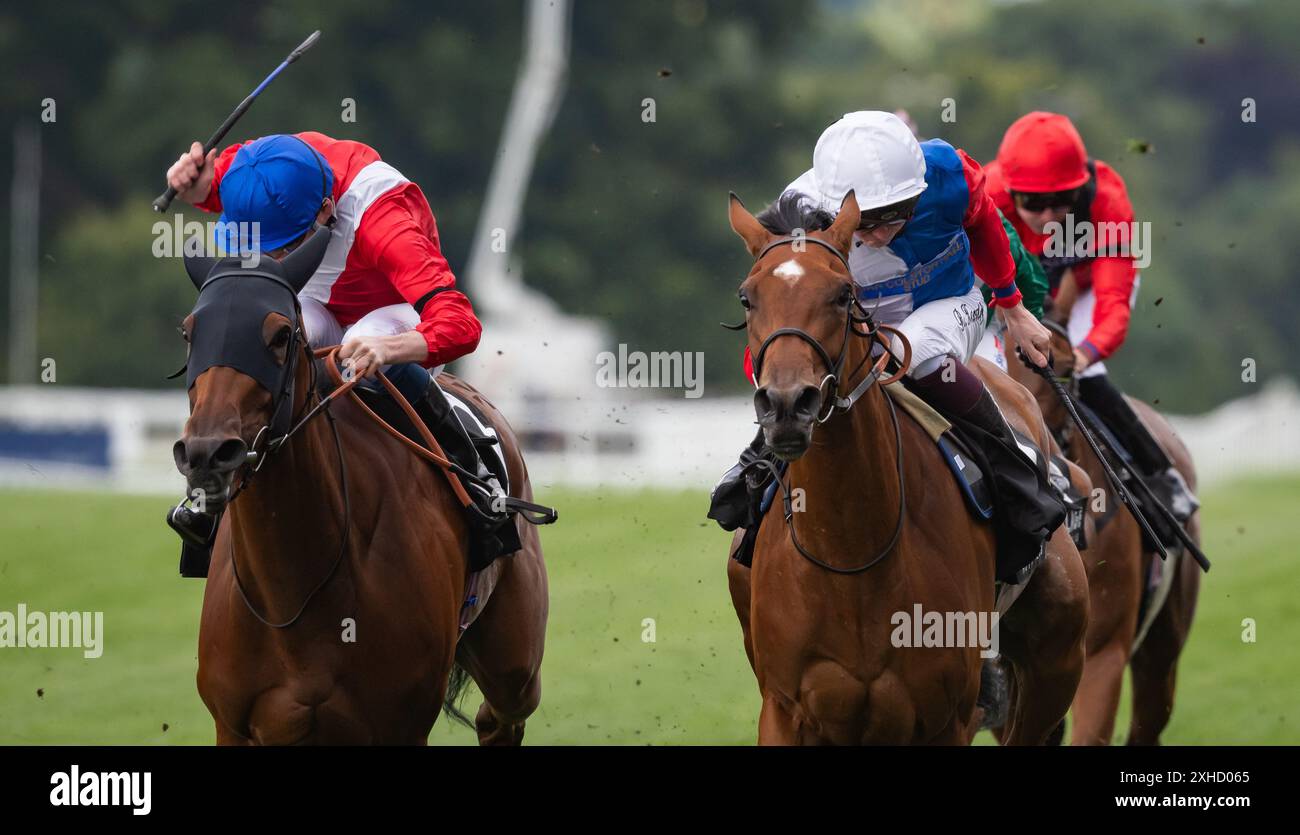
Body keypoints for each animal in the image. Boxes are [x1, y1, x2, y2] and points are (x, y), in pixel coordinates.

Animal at [174, 227, 548, 738]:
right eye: (189, 332)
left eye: (282, 334)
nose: (207, 453)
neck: (291, 594)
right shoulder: (236, 725)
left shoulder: (401, 722)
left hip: (515, 660)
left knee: (500, 713)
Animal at [722, 189, 1086, 738]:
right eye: (747, 297)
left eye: (843, 294)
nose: (787, 405)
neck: (851, 553)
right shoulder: (785, 710)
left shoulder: (946, 715)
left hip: (1054, 661)